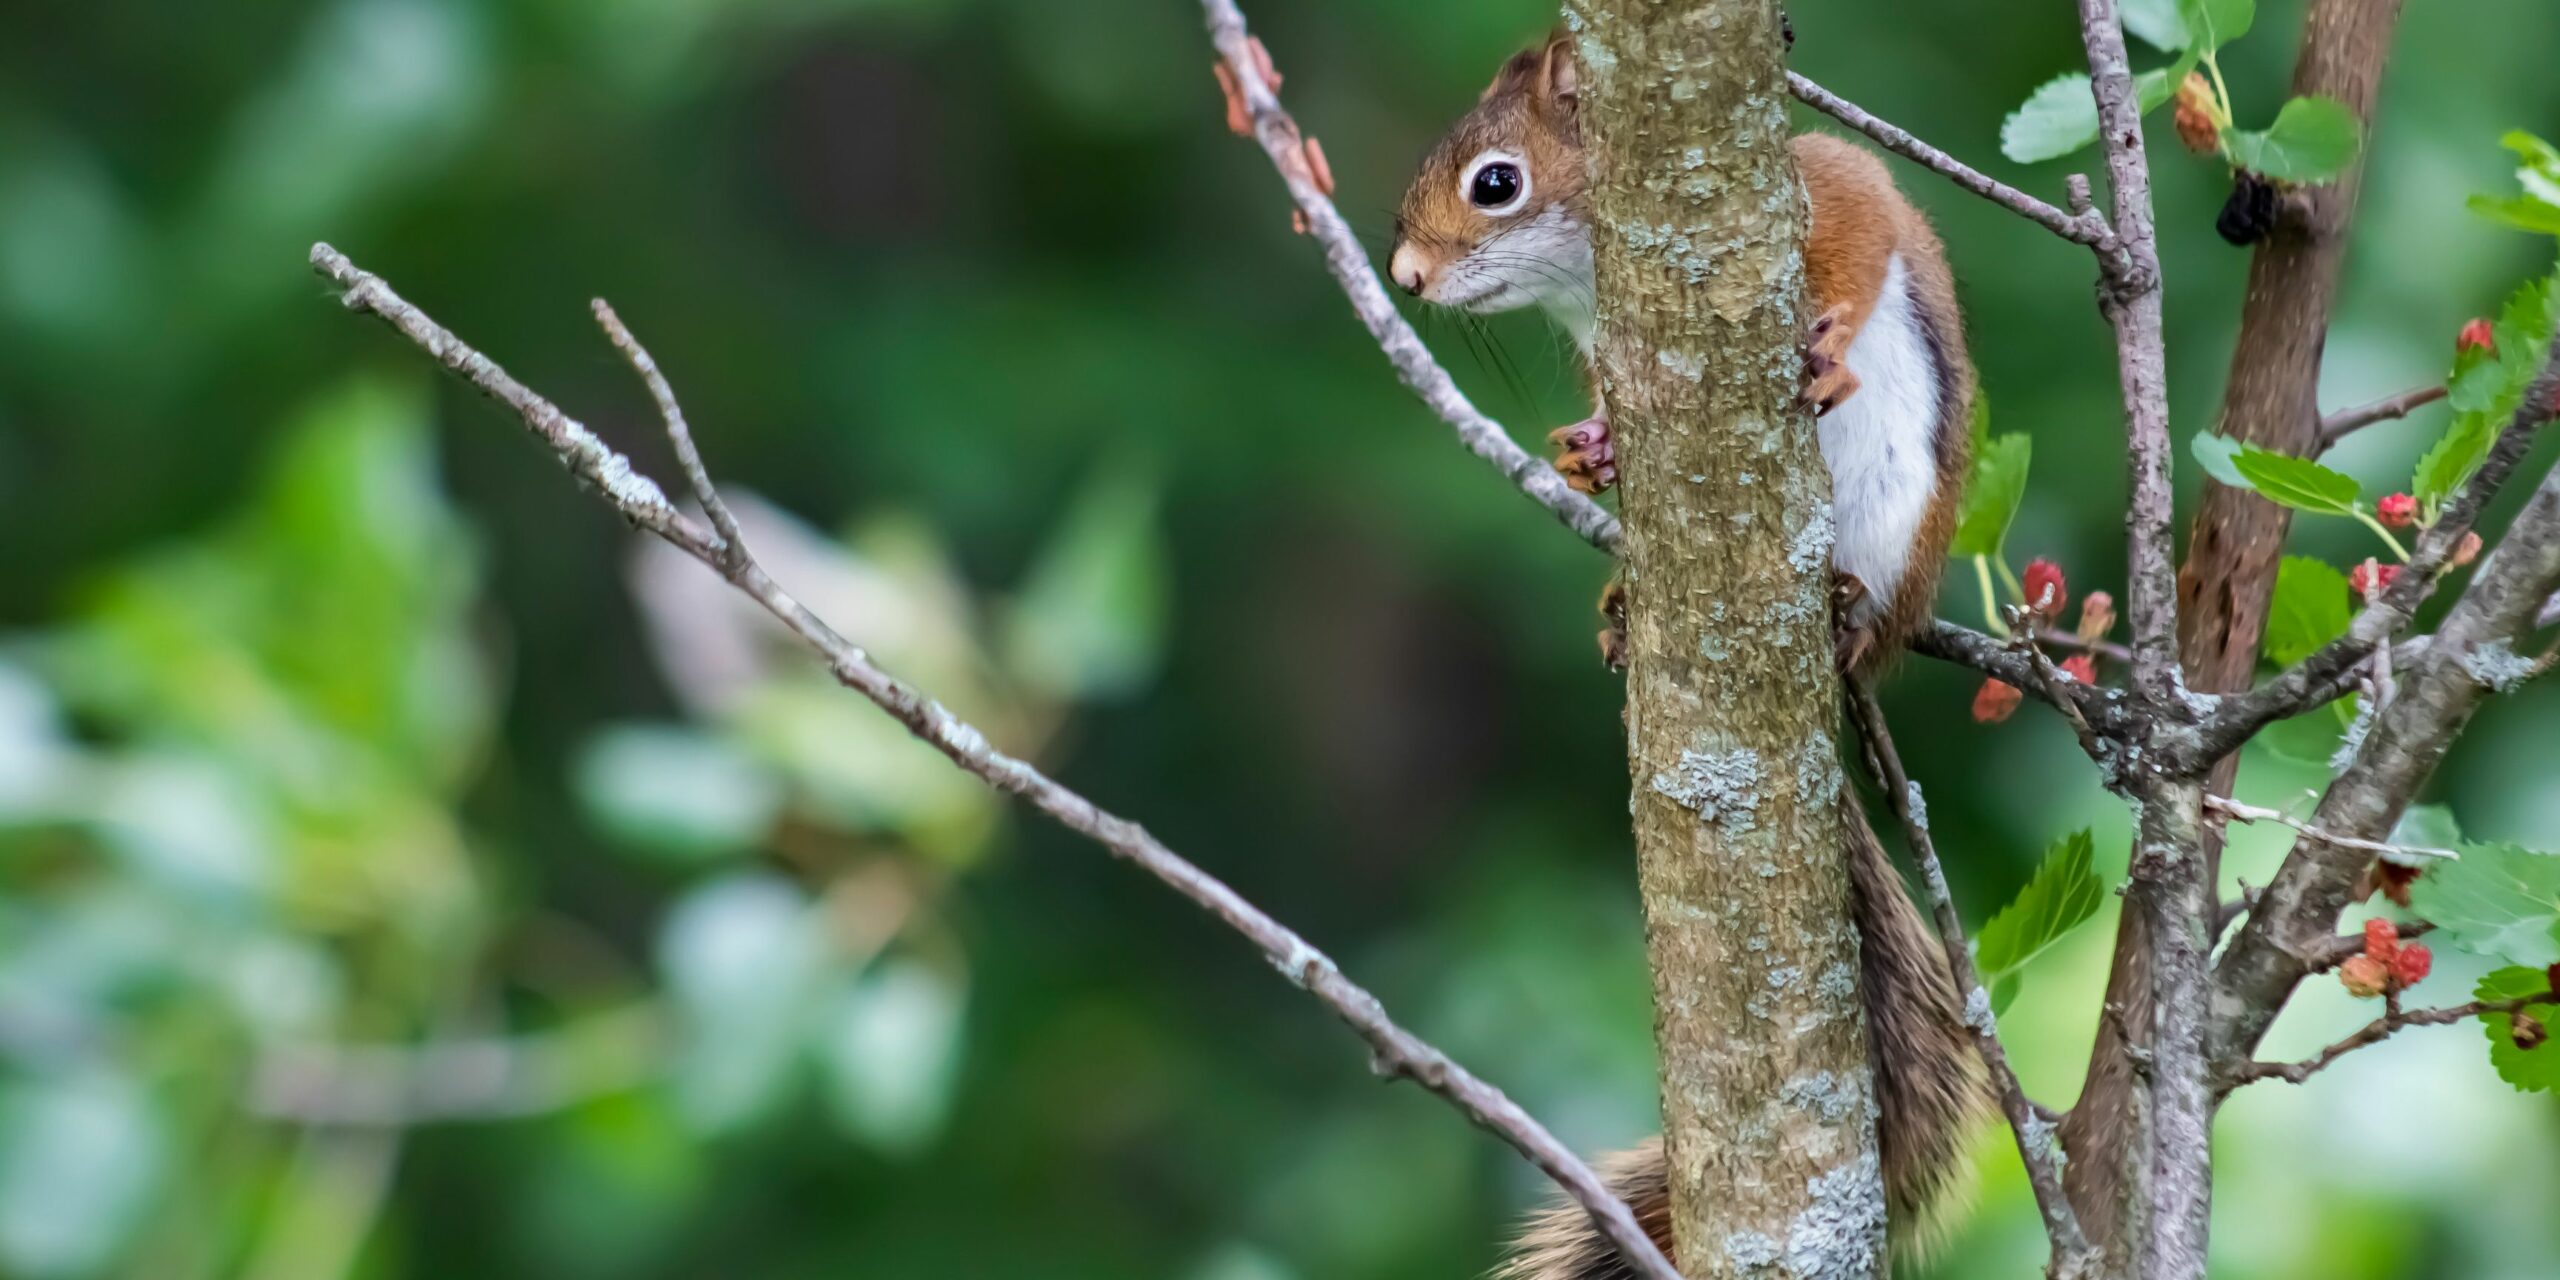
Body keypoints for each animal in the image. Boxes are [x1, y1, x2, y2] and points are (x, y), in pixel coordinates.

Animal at [1392, 35, 1986, 1274]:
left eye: (1495, 183)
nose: (1407, 276)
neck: (1589, 278)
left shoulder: (1817, 180)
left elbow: (1859, 225)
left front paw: (1827, 345)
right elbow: (1603, 410)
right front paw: (1590, 451)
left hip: (1899, 531)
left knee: (1867, 616)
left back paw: (1847, 612)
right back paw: (1623, 606)